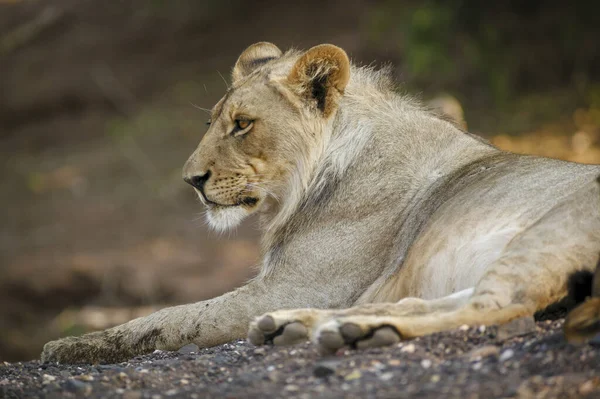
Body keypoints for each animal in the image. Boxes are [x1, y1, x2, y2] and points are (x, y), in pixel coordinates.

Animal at [41, 43, 600, 366]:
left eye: (242, 124)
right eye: (212, 123)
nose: (191, 181)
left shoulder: (291, 284)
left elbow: (171, 319)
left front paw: (68, 347)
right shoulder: (289, 287)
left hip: (548, 231)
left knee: (501, 307)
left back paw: (356, 332)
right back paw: (297, 327)